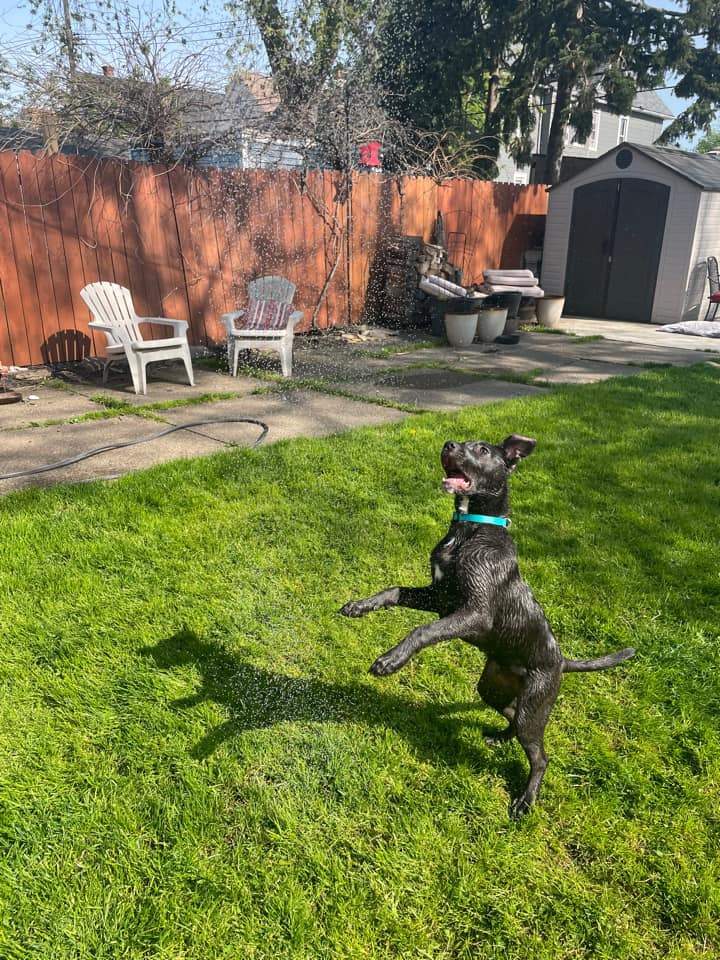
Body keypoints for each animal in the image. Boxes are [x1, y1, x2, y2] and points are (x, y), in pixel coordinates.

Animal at [340, 436, 632, 816]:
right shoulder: (439, 597)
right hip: (493, 688)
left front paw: (391, 660)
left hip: (536, 702)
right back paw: (502, 737)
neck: (471, 528)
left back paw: (525, 800)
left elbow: (422, 631)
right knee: (512, 715)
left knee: (541, 756)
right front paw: (360, 606)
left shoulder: (474, 612)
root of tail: (561, 661)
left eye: (481, 450)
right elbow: (394, 591)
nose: (448, 443)